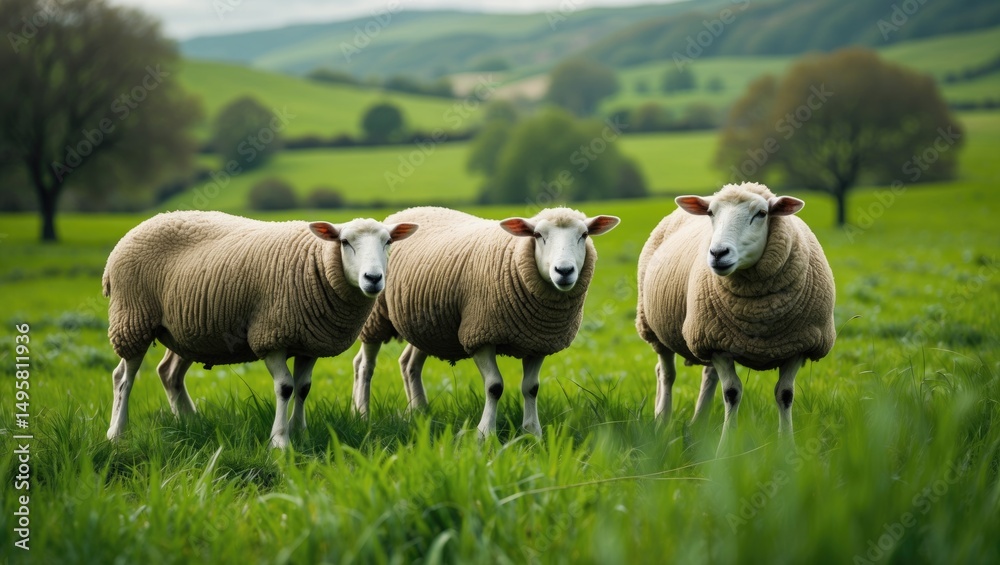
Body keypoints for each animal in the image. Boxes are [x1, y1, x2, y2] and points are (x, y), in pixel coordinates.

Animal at [102, 210, 418, 448]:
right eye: (344, 241)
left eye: (388, 241)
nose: (373, 278)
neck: (315, 264)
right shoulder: (270, 336)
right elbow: (286, 387)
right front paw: (279, 441)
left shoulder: (310, 342)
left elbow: (303, 388)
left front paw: (300, 433)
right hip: (132, 318)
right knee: (123, 377)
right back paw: (117, 433)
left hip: (184, 332)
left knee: (168, 373)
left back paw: (191, 422)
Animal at [353, 206, 620, 437]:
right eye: (537, 235)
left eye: (584, 235)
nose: (564, 271)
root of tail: (403, 213)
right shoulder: (479, 334)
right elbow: (494, 386)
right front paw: (485, 434)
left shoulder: (538, 342)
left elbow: (531, 388)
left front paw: (533, 433)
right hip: (376, 316)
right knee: (365, 364)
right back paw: (363, 414)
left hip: (425, 325)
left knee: (409, 364)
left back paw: (419, 413)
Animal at [635, 182, 835, 452]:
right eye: (711, 213)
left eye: (761, 213)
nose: (718, 253)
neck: (760, 311)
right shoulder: (718, 346)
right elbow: (731, 392)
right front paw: (724, 448)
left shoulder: (799, 345)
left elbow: (785, 394)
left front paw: (787, 446)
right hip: (658, 328)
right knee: (666, 373)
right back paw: (661, 422)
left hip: (710, 333)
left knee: (707, 376)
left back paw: (698, 423)